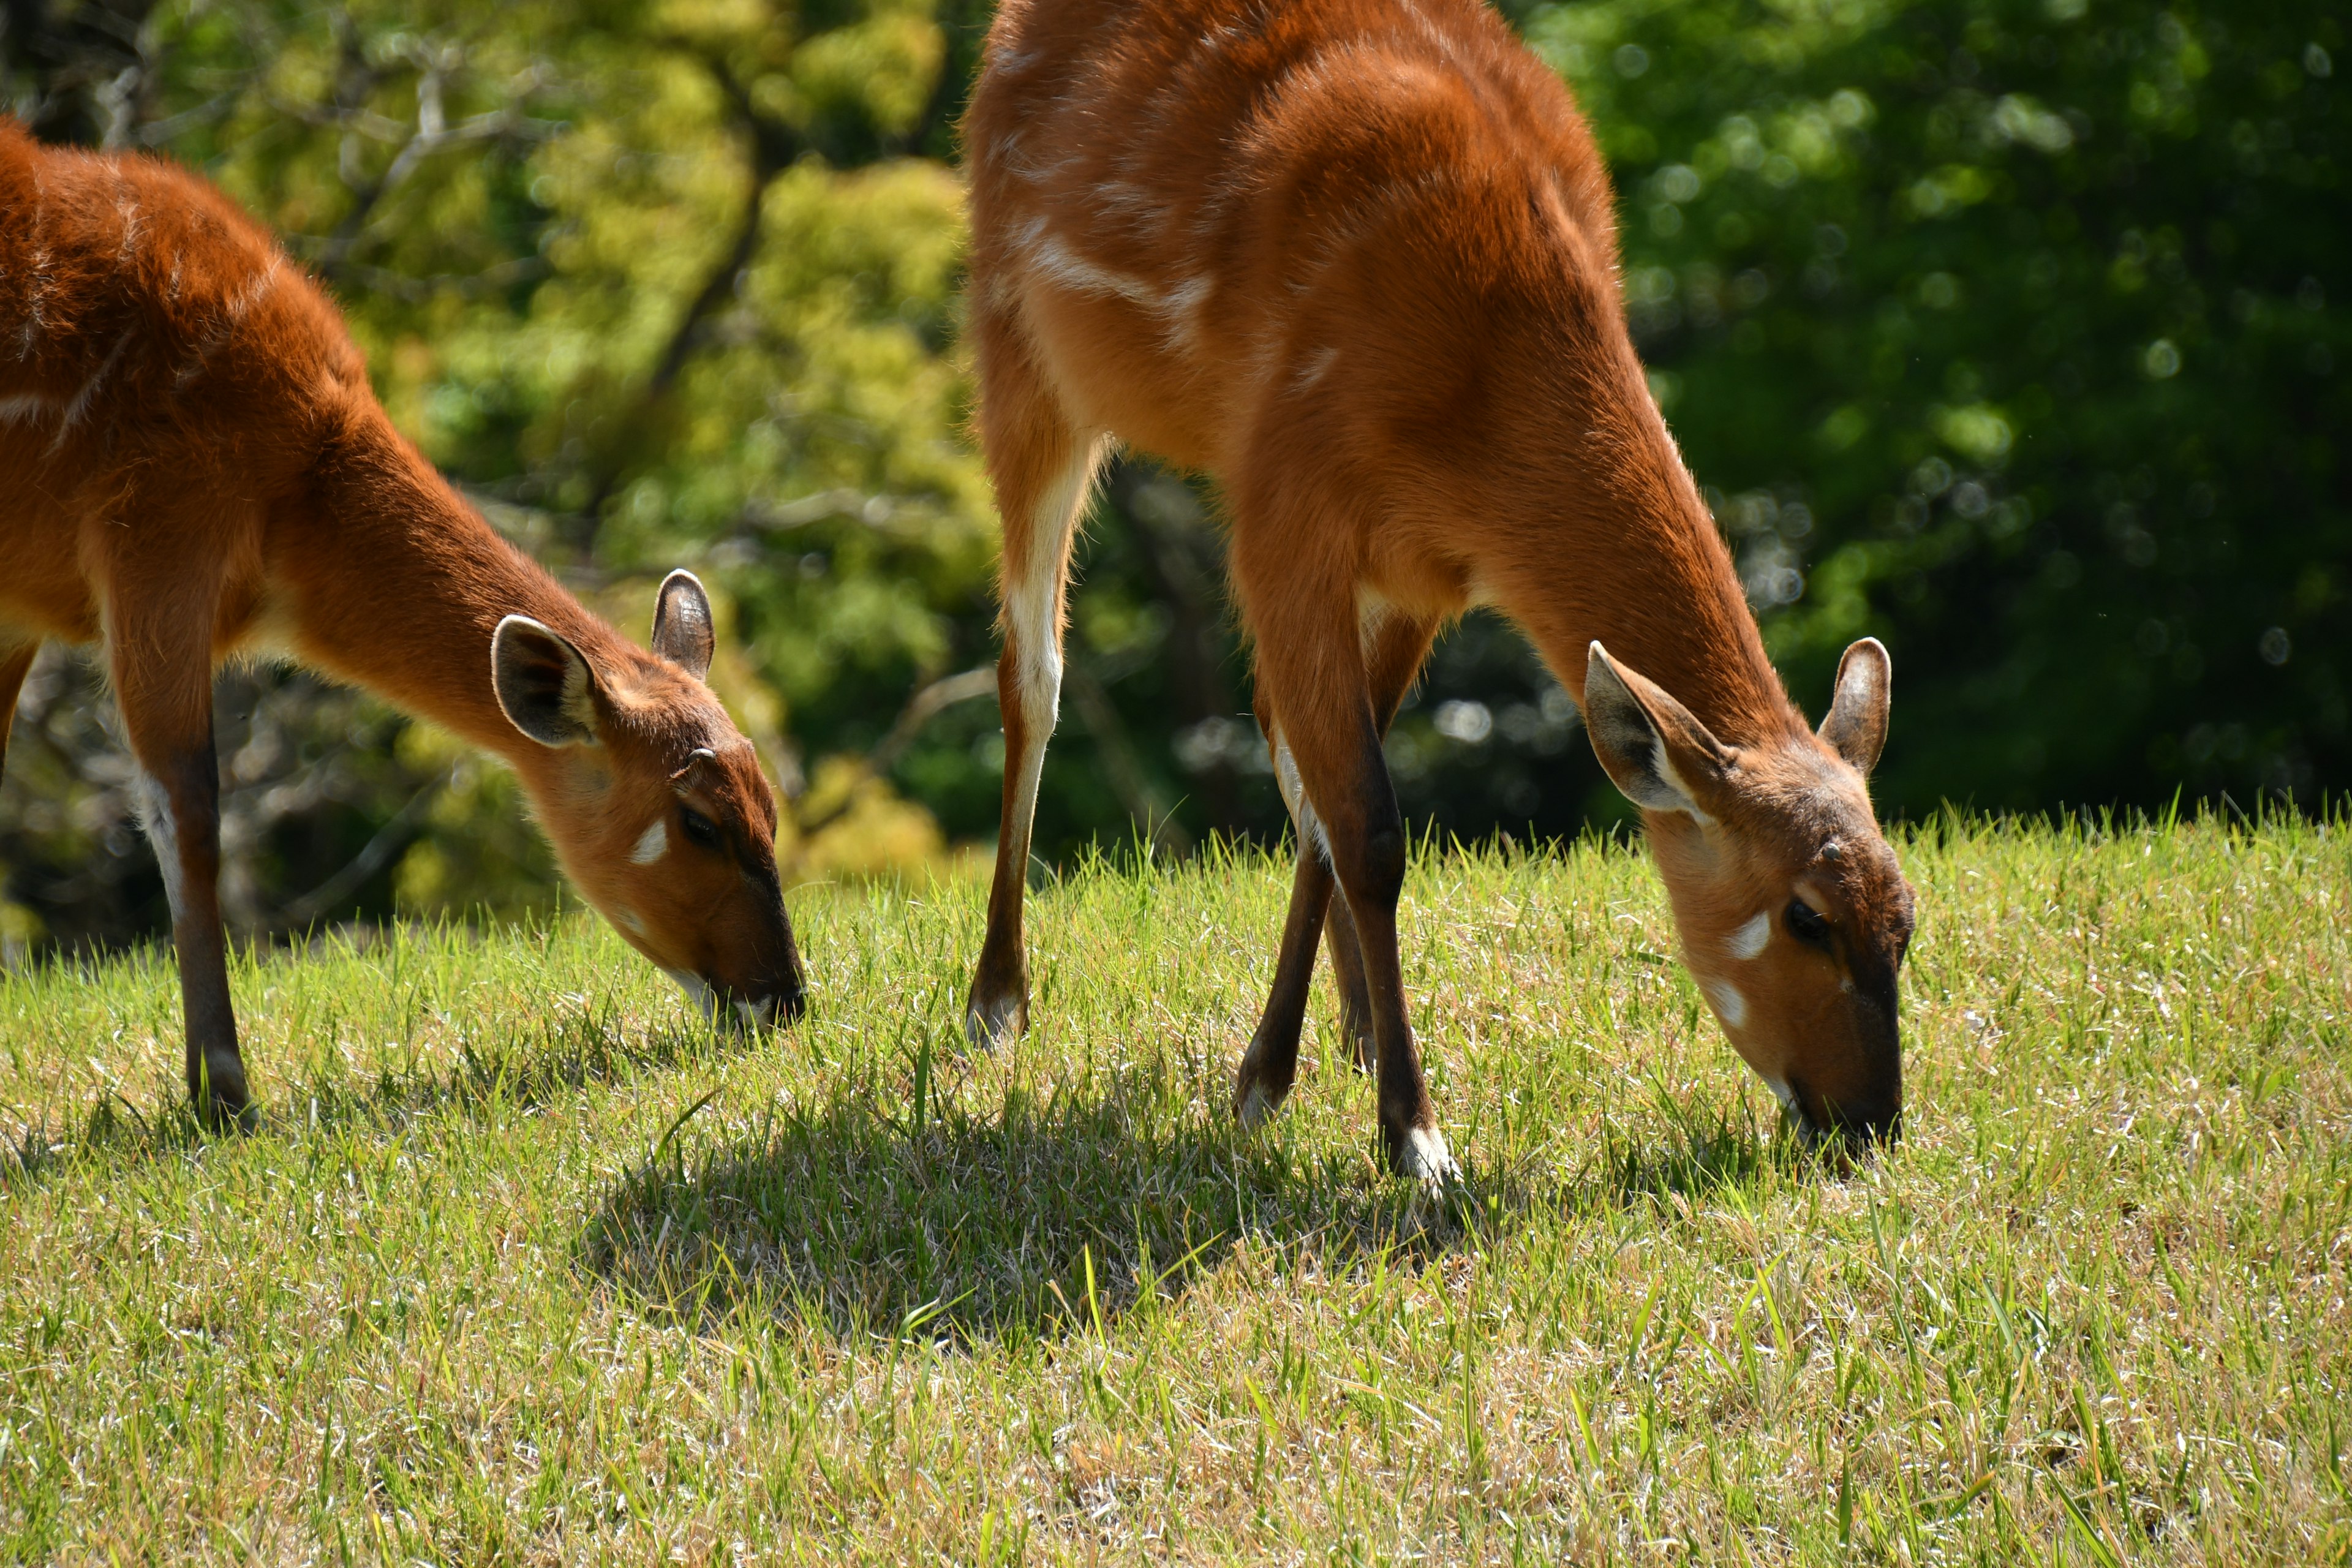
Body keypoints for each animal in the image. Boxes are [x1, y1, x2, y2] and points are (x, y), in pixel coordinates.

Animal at [0, 123, 804, 1128]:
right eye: (698, 821)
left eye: (771, 800)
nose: (786, 999)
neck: (297, 489)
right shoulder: (154, 541)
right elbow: (187, 808)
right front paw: (224, 1094)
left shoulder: (25, 604)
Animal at [955, 0, 1910, 1175]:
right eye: (1804, 915)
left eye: (1907, 917)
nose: (1870, 1123)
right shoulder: (1284, 508)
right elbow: (1367, 824)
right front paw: (1412, 1137)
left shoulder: (1425, 571)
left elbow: (1338, 798)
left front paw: (1274, 1078)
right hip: (1019, 352)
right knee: (1032, 672)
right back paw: (997, 1004)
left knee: (1274, 727)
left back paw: (1352, 1026)